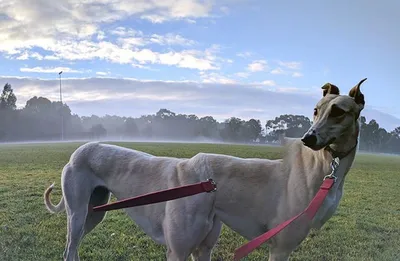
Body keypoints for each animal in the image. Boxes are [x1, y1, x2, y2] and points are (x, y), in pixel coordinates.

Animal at [45, 78, 368, 258]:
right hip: (77, 214)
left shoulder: (204, 250)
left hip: (94, 212)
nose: (308, 138)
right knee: (70, 248)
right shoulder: (180, 252)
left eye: (338, 112)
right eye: (315, 110)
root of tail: (79, 150)